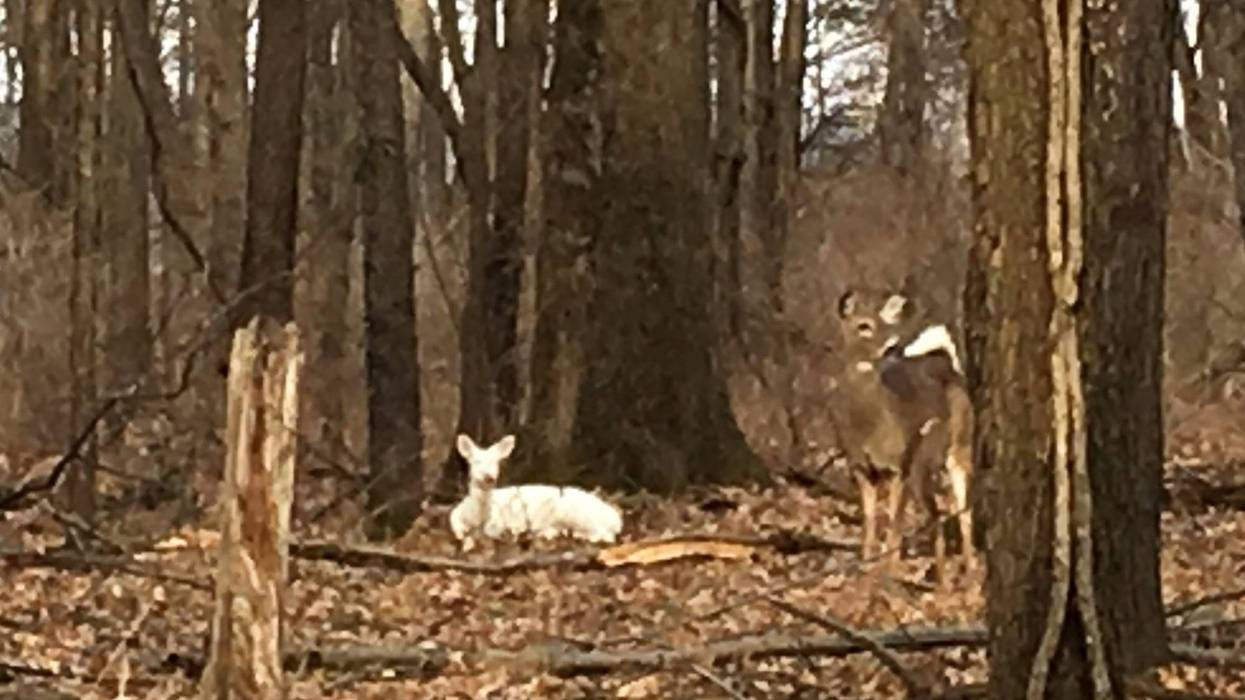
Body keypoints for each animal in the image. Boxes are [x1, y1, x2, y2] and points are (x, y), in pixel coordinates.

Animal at [449, 433, 624, 550]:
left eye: (497, 462)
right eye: (475, 461)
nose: (489, 477)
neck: (475, 517)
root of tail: (616, 519)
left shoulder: (499, 521)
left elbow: (492, 531)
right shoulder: (454, 515)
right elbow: (456, 527)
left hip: (577, 513)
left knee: (605, 535)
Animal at [830, 286, 975, 584]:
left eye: (886, 324)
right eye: (864, 325)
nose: (892, 346)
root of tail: (948, 365)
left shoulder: (899, 464)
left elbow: (895, 520)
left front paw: (887, 568)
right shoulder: (859, 466)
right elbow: (870, 516)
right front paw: (866, 562)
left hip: (957, 449)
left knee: (961, 509)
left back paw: (961, 574)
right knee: (945, 512)